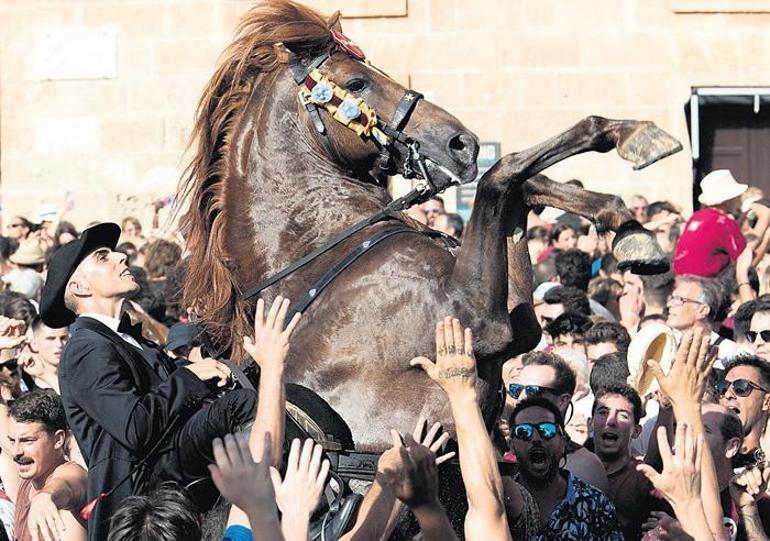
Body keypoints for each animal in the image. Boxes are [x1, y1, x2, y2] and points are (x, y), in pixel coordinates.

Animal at [178, 0, 680, 448]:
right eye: (357, 81)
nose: (463, 143)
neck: (319, 254)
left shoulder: (515, 323)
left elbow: (523, 186)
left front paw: (630, 224)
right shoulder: (479, 320)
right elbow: (503, 174)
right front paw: (628, 142)